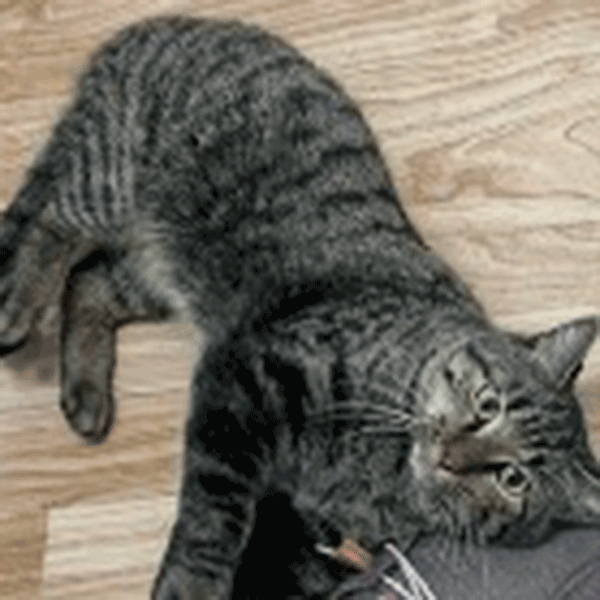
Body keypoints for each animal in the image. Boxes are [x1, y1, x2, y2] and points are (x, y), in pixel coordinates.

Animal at [1, 15, 600, 600]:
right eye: (488, 404)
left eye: (513, 479)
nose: (451, 454)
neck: (384, 472)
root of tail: (153, 27)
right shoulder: (246, 380)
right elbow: (212, 517)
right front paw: (191, 585)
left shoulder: (323, 539)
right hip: (110, 178)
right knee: (53, 222)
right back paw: (17, 307)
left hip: (156, 274)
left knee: (91, 281)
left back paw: (86, 393)